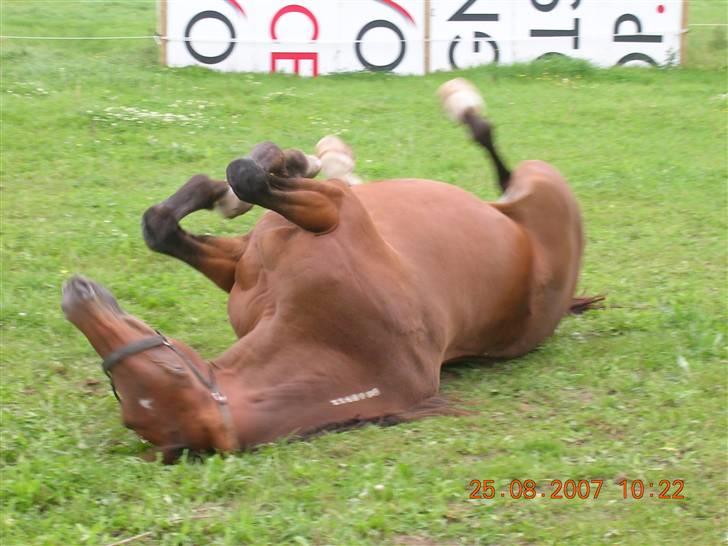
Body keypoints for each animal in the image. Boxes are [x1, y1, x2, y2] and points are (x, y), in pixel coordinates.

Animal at [61, 77, 596, 460]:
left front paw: (271, 169)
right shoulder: (245, 262)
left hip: (536, 177)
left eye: (169, 368)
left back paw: (457, 108)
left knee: (495, 154)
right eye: (122, 398)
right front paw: (264, 174)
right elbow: (163, 224)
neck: (330, 332)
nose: (75, 294)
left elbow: (244, 176)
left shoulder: (330, 212)